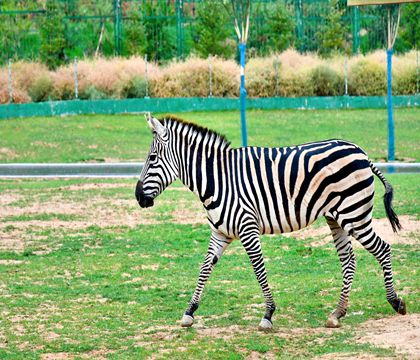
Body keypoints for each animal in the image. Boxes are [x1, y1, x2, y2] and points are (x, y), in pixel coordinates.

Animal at [137, 114, 406, 330]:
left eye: (152, 158)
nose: (138, 197)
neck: (218, 180)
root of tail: (361, 152)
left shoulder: (247, 228)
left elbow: (258, 269)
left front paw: (268, 313)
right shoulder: (221, 232)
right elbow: (205, 267)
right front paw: (189, 311)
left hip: (354, 214)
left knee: (383, 249)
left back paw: (395, 301)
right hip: (336, 218)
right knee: (348, 260)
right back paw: (337, 313)